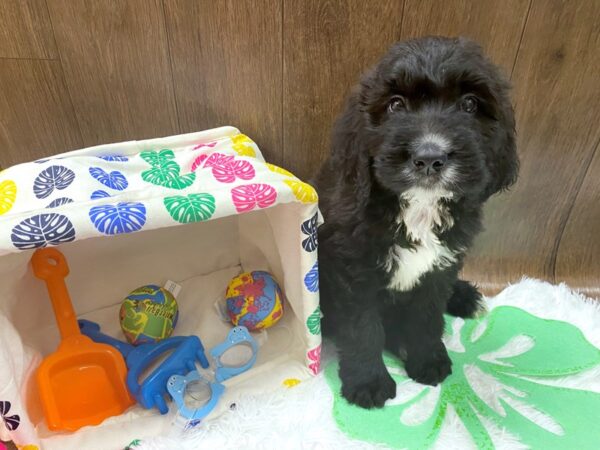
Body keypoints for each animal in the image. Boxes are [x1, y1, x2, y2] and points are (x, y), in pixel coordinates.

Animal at [316, 36, 516, 408]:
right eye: (395, 105)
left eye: (470, 104)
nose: (429, 157)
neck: (418, 208)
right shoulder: (353, 270)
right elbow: (363, 327)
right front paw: (368, 381)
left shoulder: (440, 267)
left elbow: (427, 316)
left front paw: (428, 359)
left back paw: (464, 297)